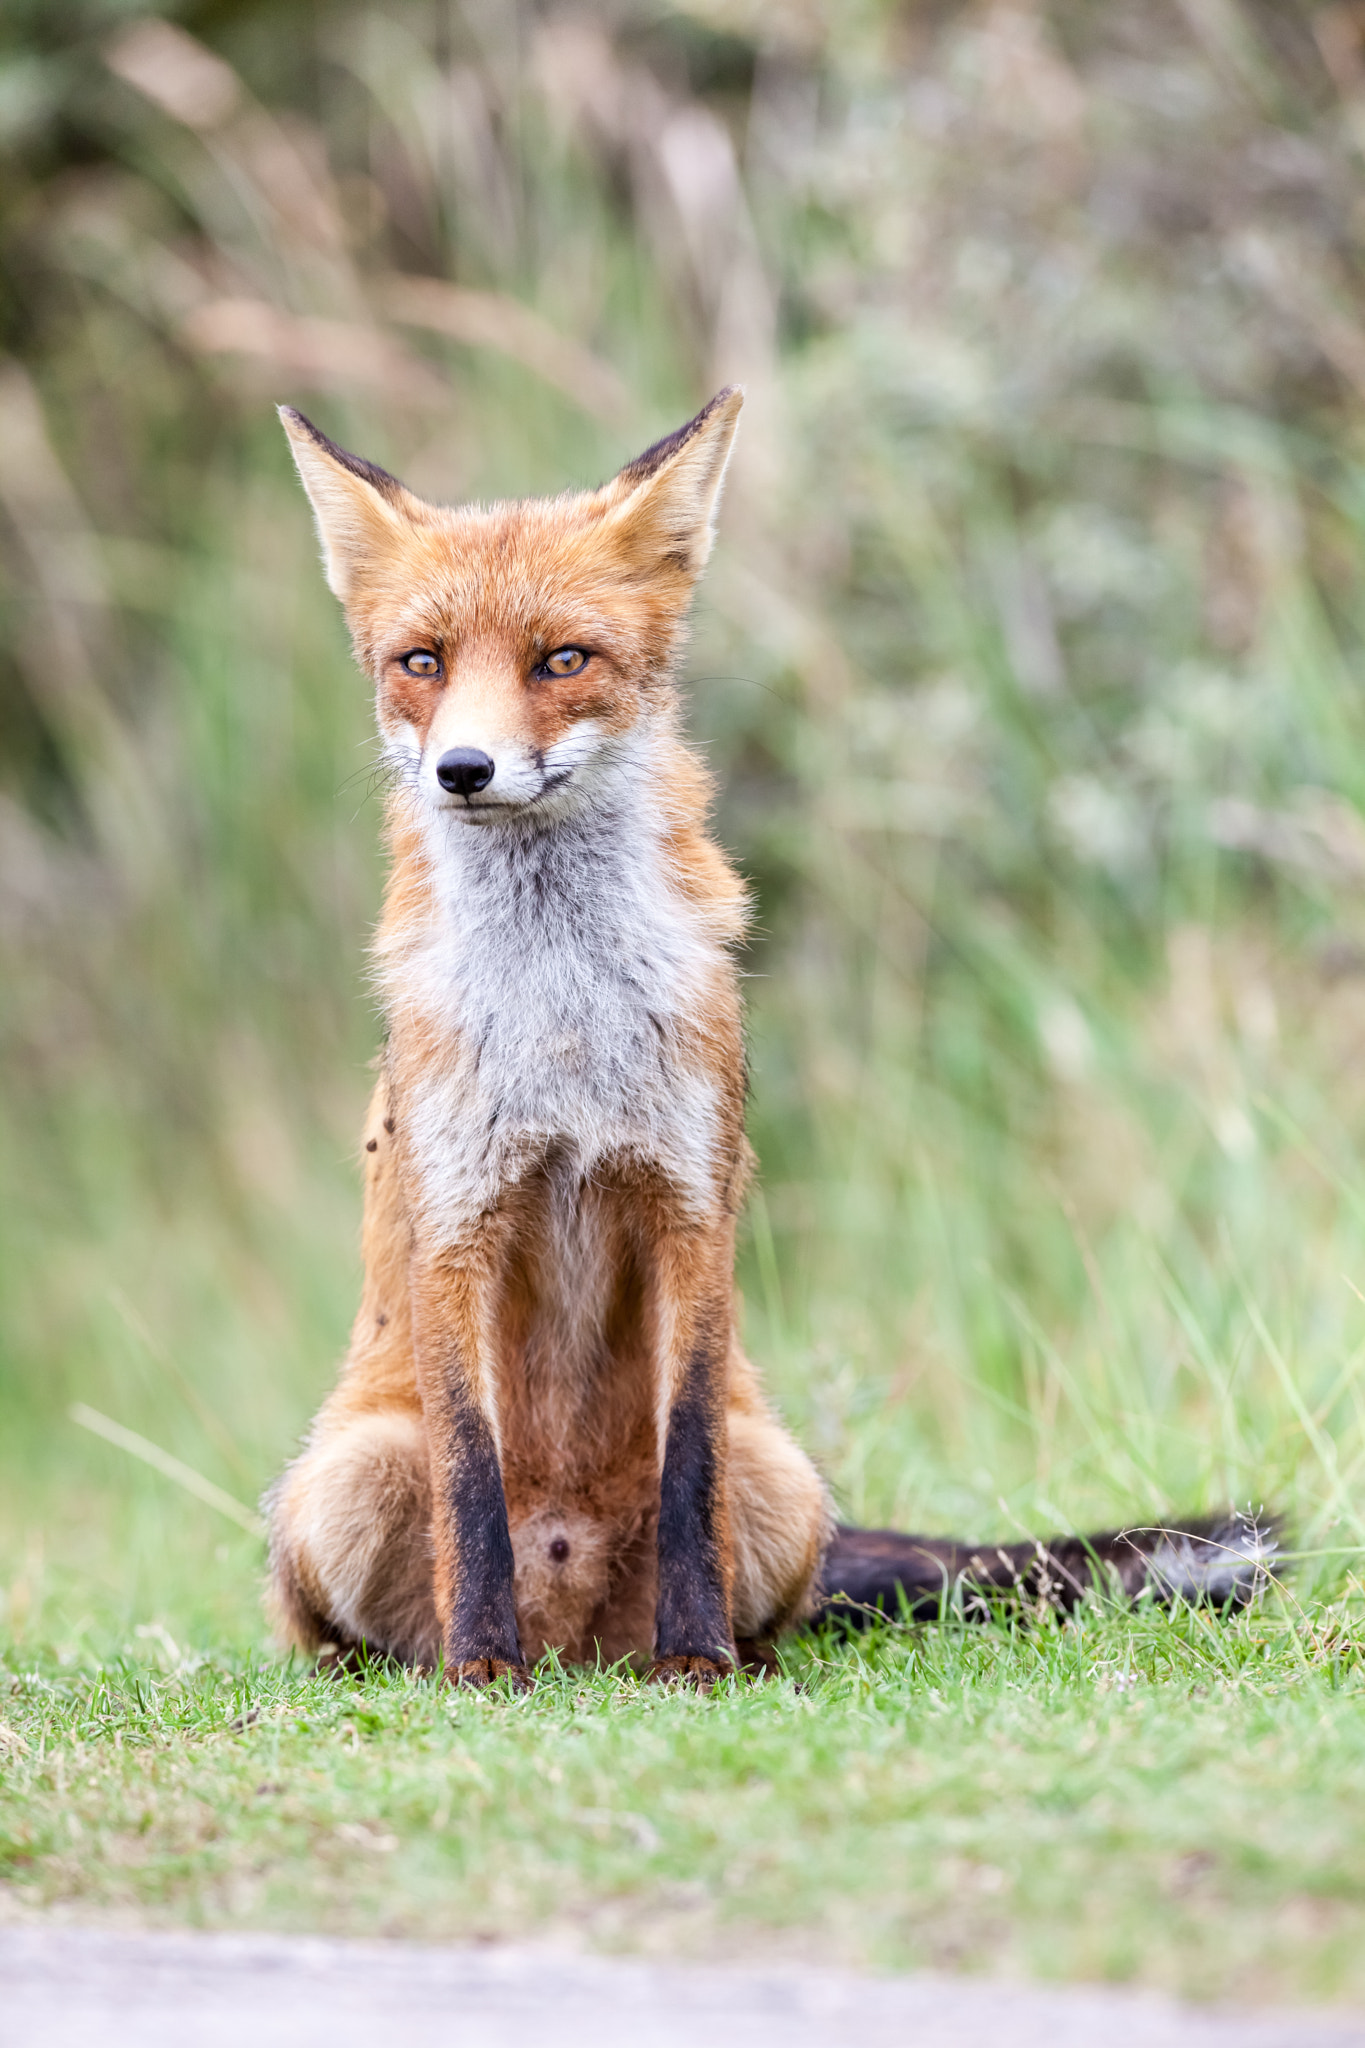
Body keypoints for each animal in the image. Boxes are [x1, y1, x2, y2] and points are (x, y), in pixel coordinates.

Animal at [270, 387, 1285, 1679]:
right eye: (422, 663)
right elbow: (470, 1479)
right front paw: (482, 1670)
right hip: (339, 1482)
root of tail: (581, 1639)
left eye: (563, 659)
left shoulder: (690, 1203)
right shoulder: (456, 1221)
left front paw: (699, 1661)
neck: (564, 1022)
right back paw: (439, 1662)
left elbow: (689, 1452)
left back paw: (721, 1654)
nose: (464, 767)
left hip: (787, 1478)